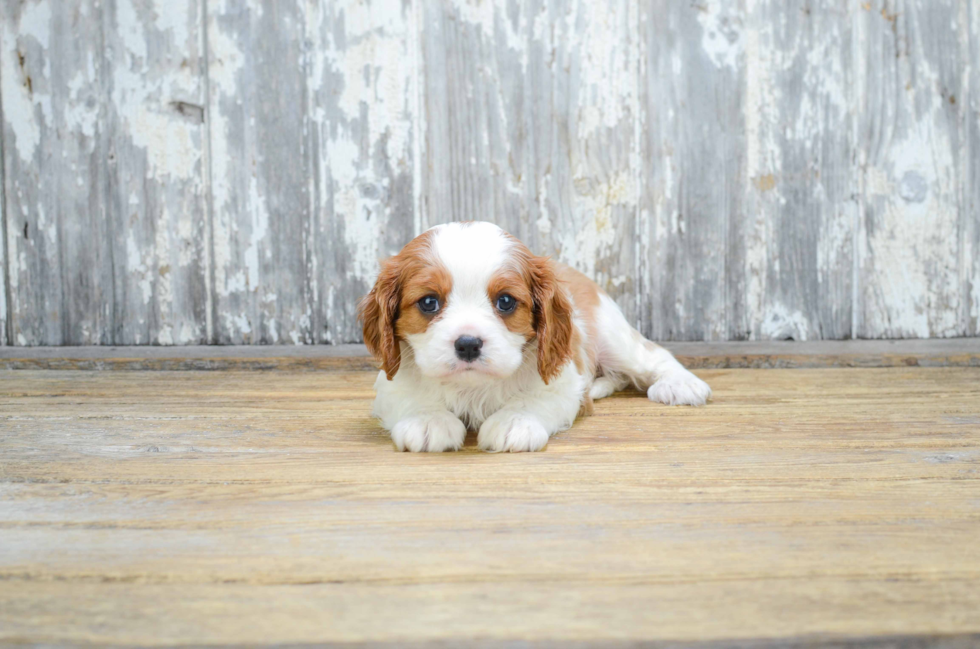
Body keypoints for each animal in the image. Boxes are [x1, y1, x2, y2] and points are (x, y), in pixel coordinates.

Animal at [360, 221, 712, 450]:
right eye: (429, 302)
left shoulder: (564, 383)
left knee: (651, 356)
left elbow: (534, 399)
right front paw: (428, 419)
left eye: (505, 301)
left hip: (613, 335)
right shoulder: (390, 381)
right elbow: (409, 396)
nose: (469, 344)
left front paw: (513, 421)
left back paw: (681, 384)